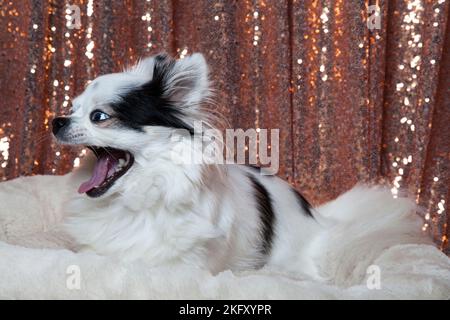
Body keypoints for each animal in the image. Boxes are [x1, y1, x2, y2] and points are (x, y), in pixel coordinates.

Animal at [51, 54, 426, 282]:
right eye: (72, 108)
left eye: (99, 116)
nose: (57, 120)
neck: (135, 200)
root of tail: (322, 221)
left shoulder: (182, 267)